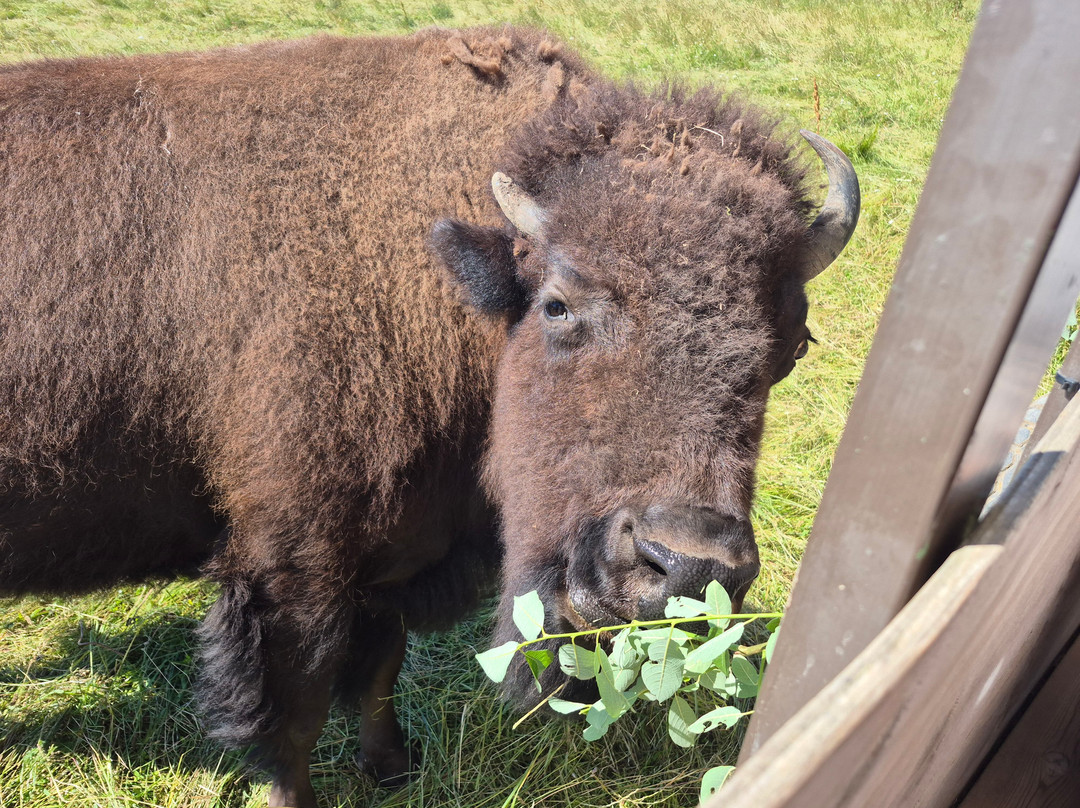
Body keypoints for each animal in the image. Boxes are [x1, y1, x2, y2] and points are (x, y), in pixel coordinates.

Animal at [0, 25, 858, 808]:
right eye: (557, 305)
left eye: (794, 344)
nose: (686, 567)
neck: (445, 286)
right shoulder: (294, 567)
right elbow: (296, 711)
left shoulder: (398, 553)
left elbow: (382, 667)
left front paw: (392, 767)